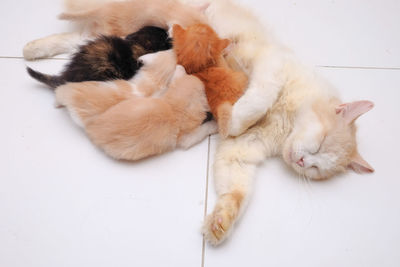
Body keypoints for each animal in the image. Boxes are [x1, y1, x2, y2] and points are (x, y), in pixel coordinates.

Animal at [174, 0, 376, 247]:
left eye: (316, 169)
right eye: (320, 143)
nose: (301, 161)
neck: (287, 124)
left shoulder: (240, 151)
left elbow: (236, 192)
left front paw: (220, 223)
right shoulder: (271, 67)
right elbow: (259, 100)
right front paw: (233, 121)